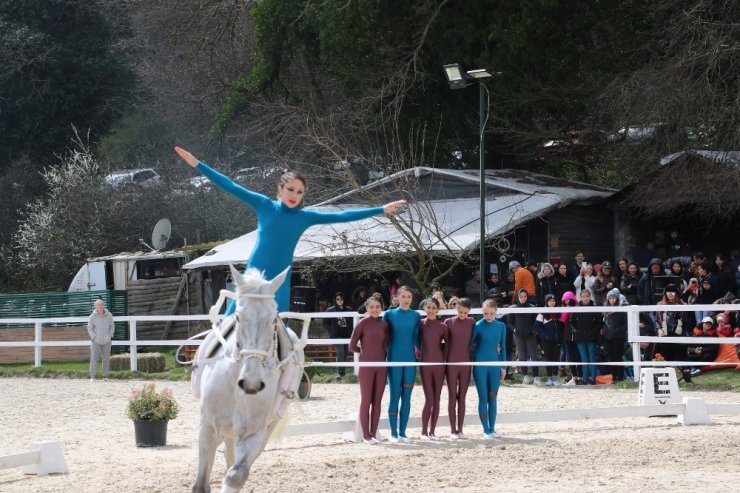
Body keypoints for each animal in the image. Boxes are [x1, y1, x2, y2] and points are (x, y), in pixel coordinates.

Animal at [194, 268, 306, 490]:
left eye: (274, 320)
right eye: (238, 317)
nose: (251, 383)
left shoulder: (253, 433)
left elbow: (236, 475)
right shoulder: (208, 427)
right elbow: (201, 485)